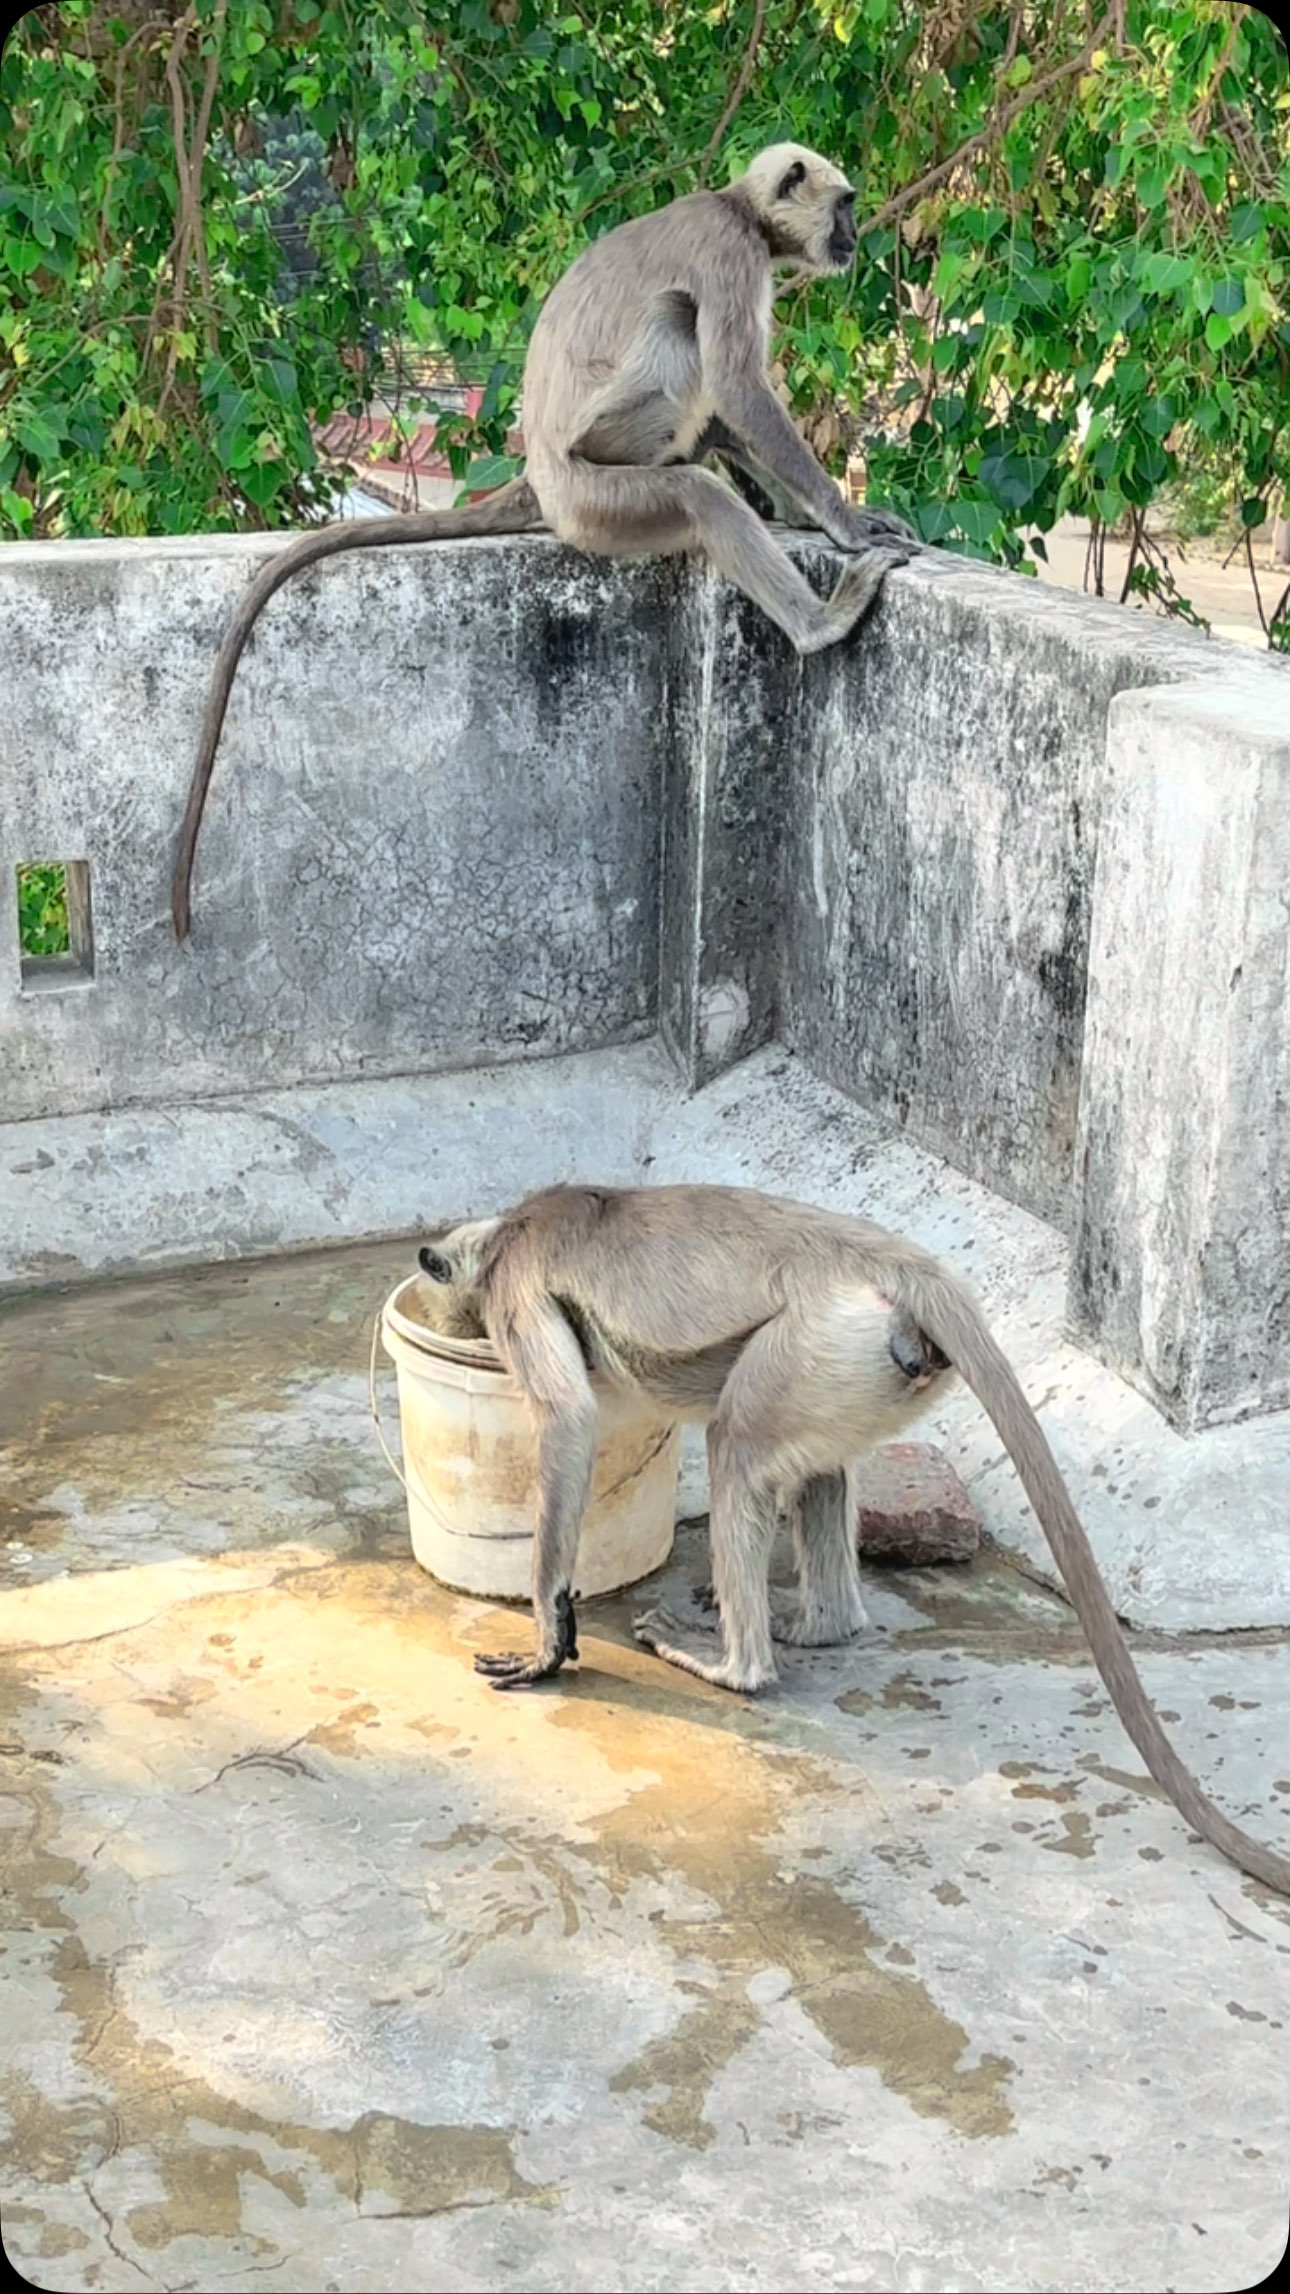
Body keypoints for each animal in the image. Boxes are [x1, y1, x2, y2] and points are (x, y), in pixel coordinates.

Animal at [172, 143, 921, 940]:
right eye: (843, 207)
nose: (853, 237)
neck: (737, 209)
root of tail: (538, 472)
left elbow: (731, 405)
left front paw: (812, 514)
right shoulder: (728, 254)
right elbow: (738, 388)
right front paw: (841, 520)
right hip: (598, 491)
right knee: (688, 408)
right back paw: (818, 622)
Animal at [410, 1182, 1290, 1899]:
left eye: (473, 1324)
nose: (473, 1346)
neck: (514, 1226)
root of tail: (894, 1259)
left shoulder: (520, 1279)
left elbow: (569, 1419)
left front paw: (549, 1642)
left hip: (823, 1342)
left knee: (736, 1446)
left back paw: (734, 1663)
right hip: (855, 1370)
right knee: (815, 1469)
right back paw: (811, 1623)